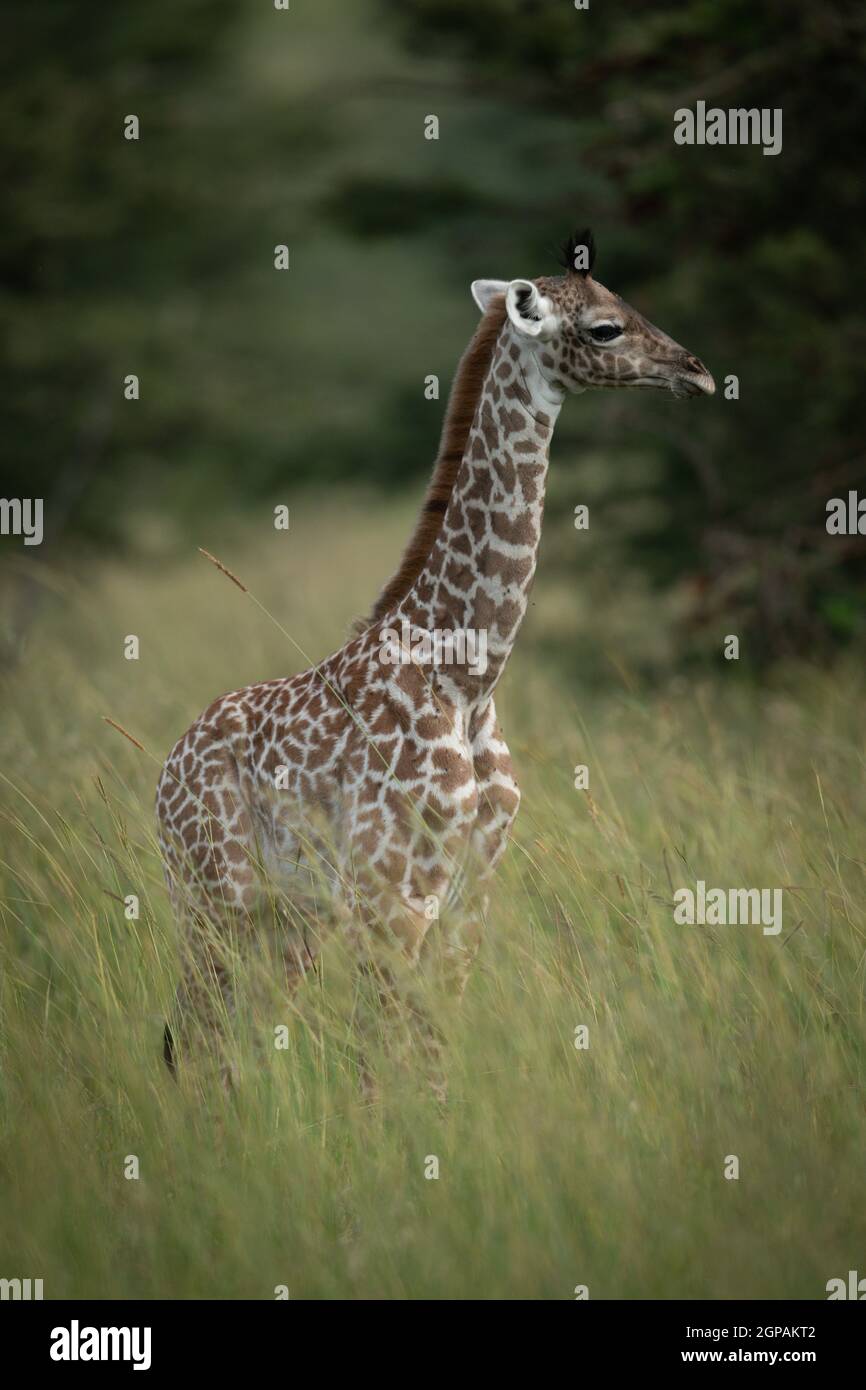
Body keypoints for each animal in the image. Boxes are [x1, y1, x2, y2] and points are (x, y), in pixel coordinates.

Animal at [156, 228, 714, 1087]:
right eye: (605, 328)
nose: (698, 372)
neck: (467, 676)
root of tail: (164, 771)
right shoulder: (392, 892)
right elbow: (382, 1061)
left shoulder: (470, 891)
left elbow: (428, 1050)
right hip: (217, 894)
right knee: (199, 1036)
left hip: (287, 918)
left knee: (231, 1034)